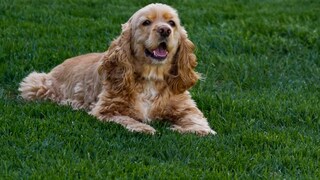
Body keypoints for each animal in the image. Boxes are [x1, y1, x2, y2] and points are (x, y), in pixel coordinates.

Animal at [18, 3, 216, 135]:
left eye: (172, 23)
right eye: (146, 22)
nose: (165, 30)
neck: (151, 77)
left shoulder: (186, 107)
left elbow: (197, 121)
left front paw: (190, 129)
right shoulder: (107, 109)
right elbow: (127, 119)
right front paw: (144, 127)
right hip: (37, 85)